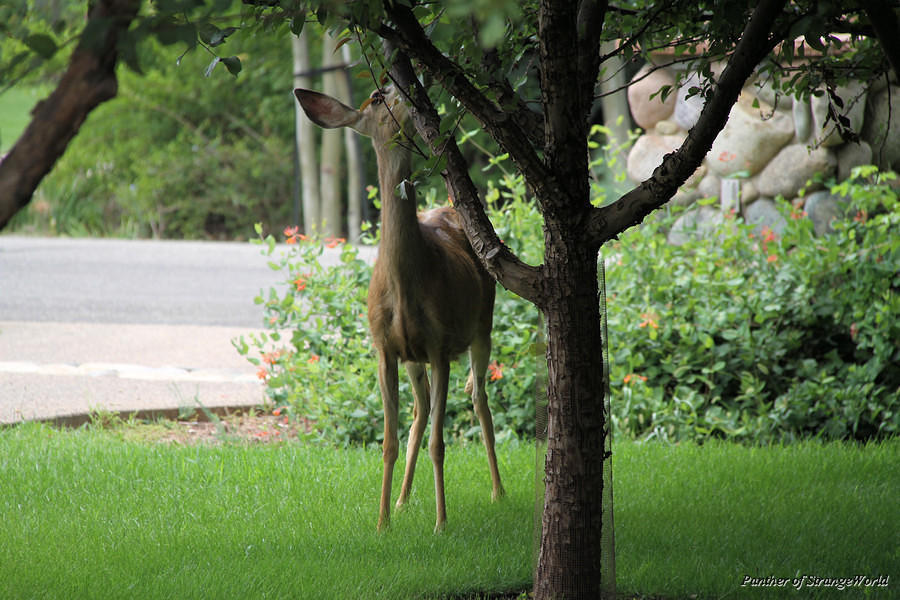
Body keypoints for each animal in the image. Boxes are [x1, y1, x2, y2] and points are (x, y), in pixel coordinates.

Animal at [294, 85, 505, 532]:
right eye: (377, 96)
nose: (410, 87)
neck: (407, 282)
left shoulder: (440, 346)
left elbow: (439, 443)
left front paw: (441, 523)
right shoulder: (385, 348)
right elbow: (390, 441)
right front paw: (383, 522)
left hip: (483, 325)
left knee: (478, 397)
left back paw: (498, 491)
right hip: (414, 358)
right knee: (421, 411)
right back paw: (405, 500)